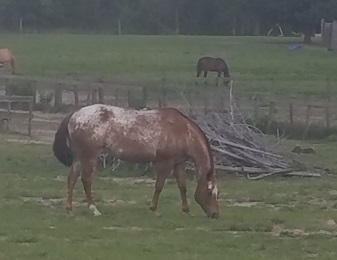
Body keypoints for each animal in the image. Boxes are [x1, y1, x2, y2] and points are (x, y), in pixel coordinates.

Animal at [52, 103, 219, 219]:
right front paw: (154, 209)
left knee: (72, 178)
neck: (183, 131)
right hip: (90, 156)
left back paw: (70, 210)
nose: (215, 215)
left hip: (80, 157)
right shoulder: (165, 163)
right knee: (86, 180)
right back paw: (94, 209)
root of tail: (75, 114)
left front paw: (186, 211)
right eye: (211, 192)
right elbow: (159, 186)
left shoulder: (178, 163)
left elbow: (182, 187)